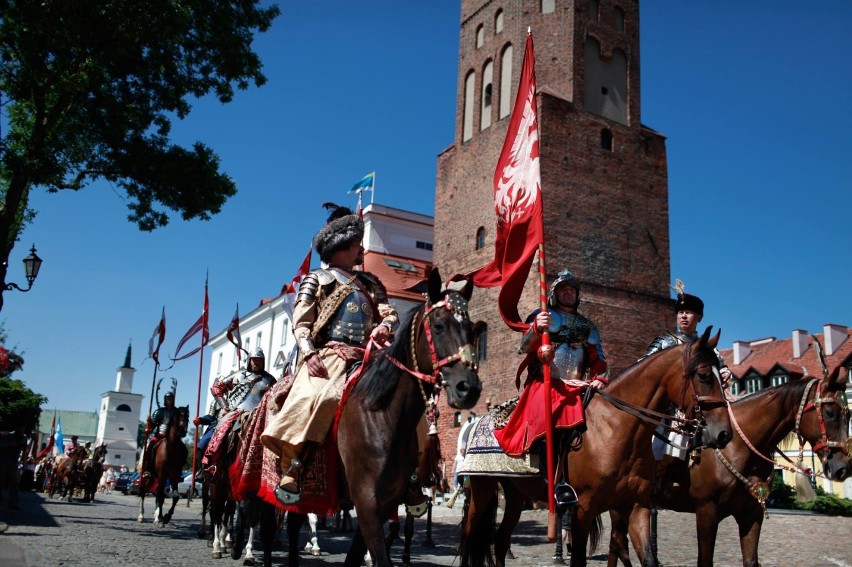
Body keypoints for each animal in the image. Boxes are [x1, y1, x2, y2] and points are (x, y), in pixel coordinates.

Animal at [334, 268, 482, 567]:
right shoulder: (365, 501)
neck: (381, 415)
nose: (469, 388)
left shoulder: (385, 503)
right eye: (438, 326)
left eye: (472, 331)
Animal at [460, 328, 732, 567]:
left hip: (516, 494)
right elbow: (579, 558)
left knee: (500, 542)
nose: (724, 433)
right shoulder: (583, 508)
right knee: (469, 538)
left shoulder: (636, 507)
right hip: (482, 490)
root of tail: (481, 419)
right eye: (704, 375)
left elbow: (648, 558)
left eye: (723, 376)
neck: (619, 428)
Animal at [608, 364, 848, 567]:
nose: (843, 468)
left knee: (616, 544)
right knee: (619, 544)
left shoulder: (752, 515)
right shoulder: (706, 513)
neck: (738, 446)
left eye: (849, 415)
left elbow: (751, 561)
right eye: (830, 413)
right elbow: (705, 561)